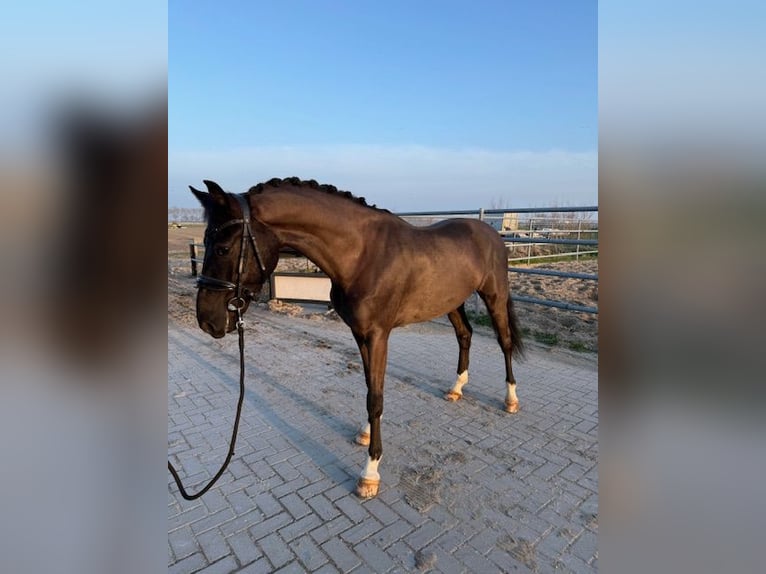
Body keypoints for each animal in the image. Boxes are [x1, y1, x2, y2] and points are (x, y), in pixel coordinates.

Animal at [190, 177, 524, 498]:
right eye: (206, 242)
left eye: (222, 248)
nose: (207, 320)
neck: (362, 255)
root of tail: (490, 233)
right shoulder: (359, 332)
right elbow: (369, 387)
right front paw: (365, 433)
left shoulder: (378, 335)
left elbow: (375, 397)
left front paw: (370, 472)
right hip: (452, 301)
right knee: (464, 335)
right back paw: (456, 389)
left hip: (494, 296)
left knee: (504, 341)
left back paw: (510, 400)